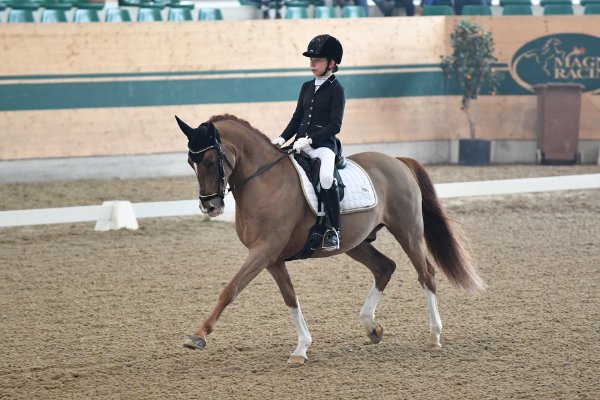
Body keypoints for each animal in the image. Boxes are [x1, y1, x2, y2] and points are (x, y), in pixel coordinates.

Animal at [175, 113, 482, 366]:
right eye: (191, 162)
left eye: (211, 161)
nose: (210, 207)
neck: (265, 182)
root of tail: (397, 162)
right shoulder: (272, 258)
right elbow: (290, 298)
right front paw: (301, 348)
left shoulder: (263, 251)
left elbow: (231, 290)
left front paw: (198, 336)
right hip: (356, 243)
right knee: (385, 268)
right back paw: (371, 327)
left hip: (408, 232)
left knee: (426, 274)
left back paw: (434, 336)